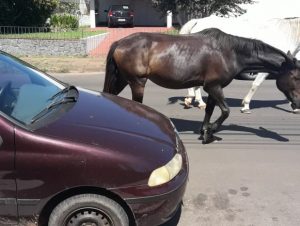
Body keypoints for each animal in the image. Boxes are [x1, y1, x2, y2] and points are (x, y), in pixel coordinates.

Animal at [103, 28, 300, 143]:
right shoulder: (213, 86)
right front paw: (211, 130)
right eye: (295, 76)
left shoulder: (213, 87)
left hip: (122, 79)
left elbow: (210, 110)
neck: (230, 52)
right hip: (137, 82)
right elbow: (225, 111)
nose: (298, 103)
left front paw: (206, 131)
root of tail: (120, 42)